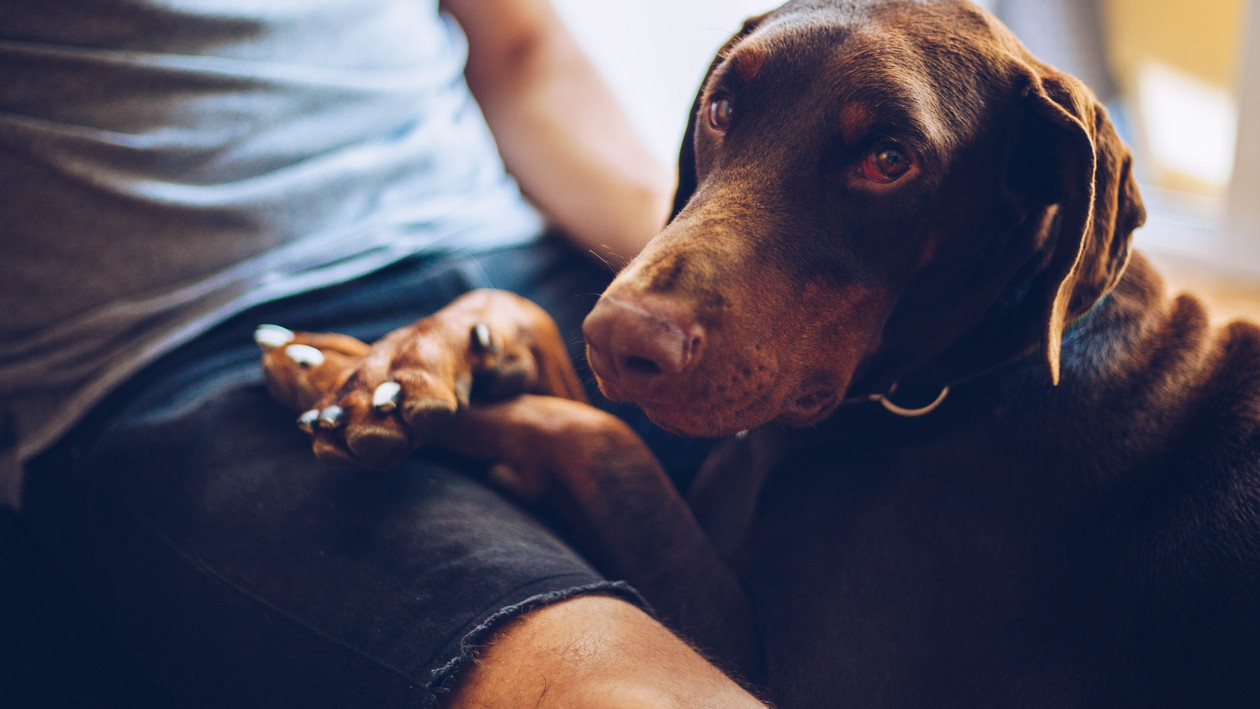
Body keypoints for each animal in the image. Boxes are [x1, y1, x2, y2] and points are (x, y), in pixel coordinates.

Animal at [258, 2, 1260, 705]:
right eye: (720, 107)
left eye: (889, 159)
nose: (619, 338)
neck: (957, 378)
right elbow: (556, 370)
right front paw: (403, 360)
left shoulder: (777, 670)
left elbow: (594, 436)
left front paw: (366, 374)